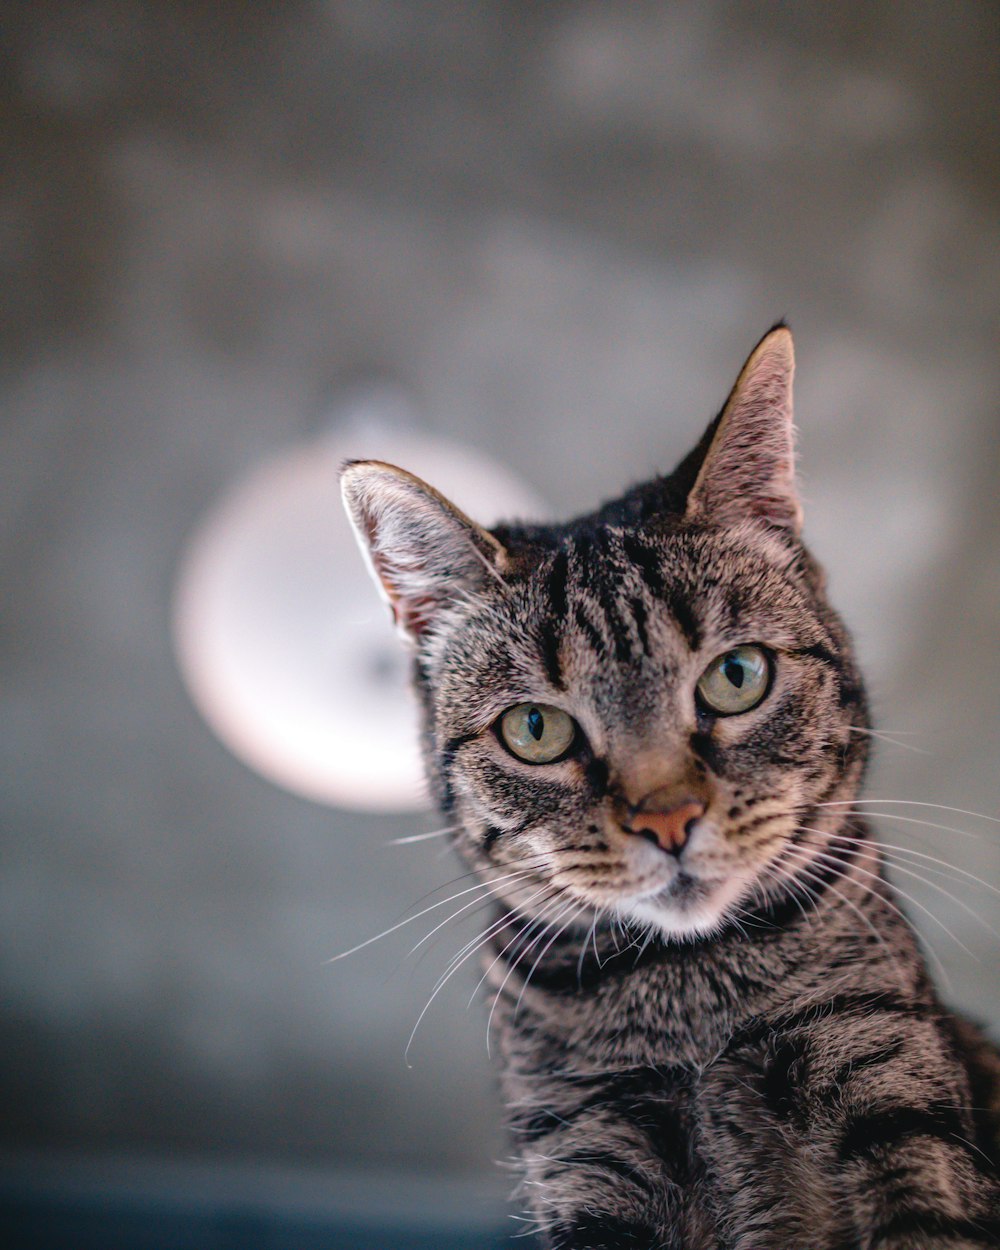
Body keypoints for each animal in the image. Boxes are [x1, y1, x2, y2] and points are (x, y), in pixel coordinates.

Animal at [340, 327, 995, 1245]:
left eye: (737, 676)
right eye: (535, 730)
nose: (668, 817)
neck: (692, 1006)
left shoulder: (889, 1082)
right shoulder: (590, 1147)